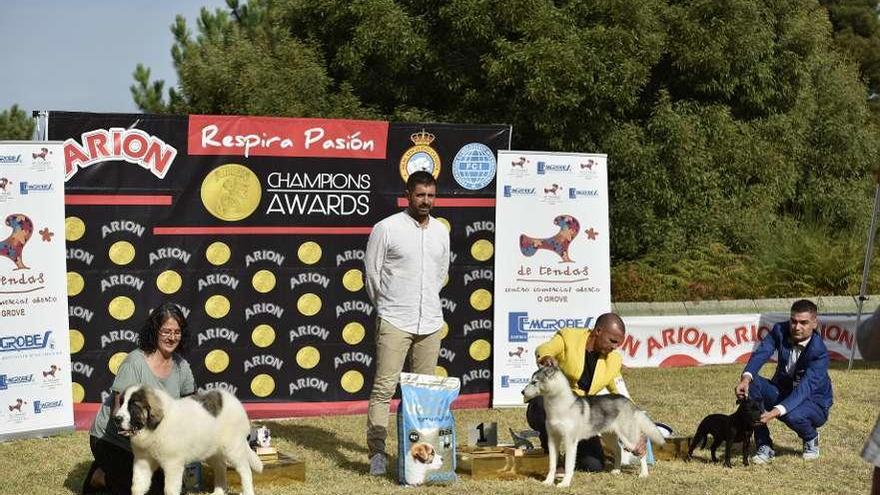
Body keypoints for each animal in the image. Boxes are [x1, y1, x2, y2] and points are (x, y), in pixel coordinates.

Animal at [111, 388, 262, 495]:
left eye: (133, 406)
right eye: (121, 403)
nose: (116, 419)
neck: (154, 427)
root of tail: (234, 400)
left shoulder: (173, 464)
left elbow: (170, 490)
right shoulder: (142, 461)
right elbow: (137, 487)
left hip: (233, 448)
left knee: (245, 470)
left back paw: (247, 492)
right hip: (212, 450)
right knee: (220, 467)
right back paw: (218, 492)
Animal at [524, 368, 660, 488]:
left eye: (534, 382)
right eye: (530, 380)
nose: (522, 392)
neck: (558, 408)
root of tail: (627, 401)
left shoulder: (570, 442)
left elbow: (568, 465)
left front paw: (565, 483)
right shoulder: (552, 439)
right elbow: (552, 464)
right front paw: (548, 481)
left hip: (628, 439)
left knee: (641, 452)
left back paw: (644, 473)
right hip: (608, 437)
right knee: (618, 450)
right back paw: (616, 470)